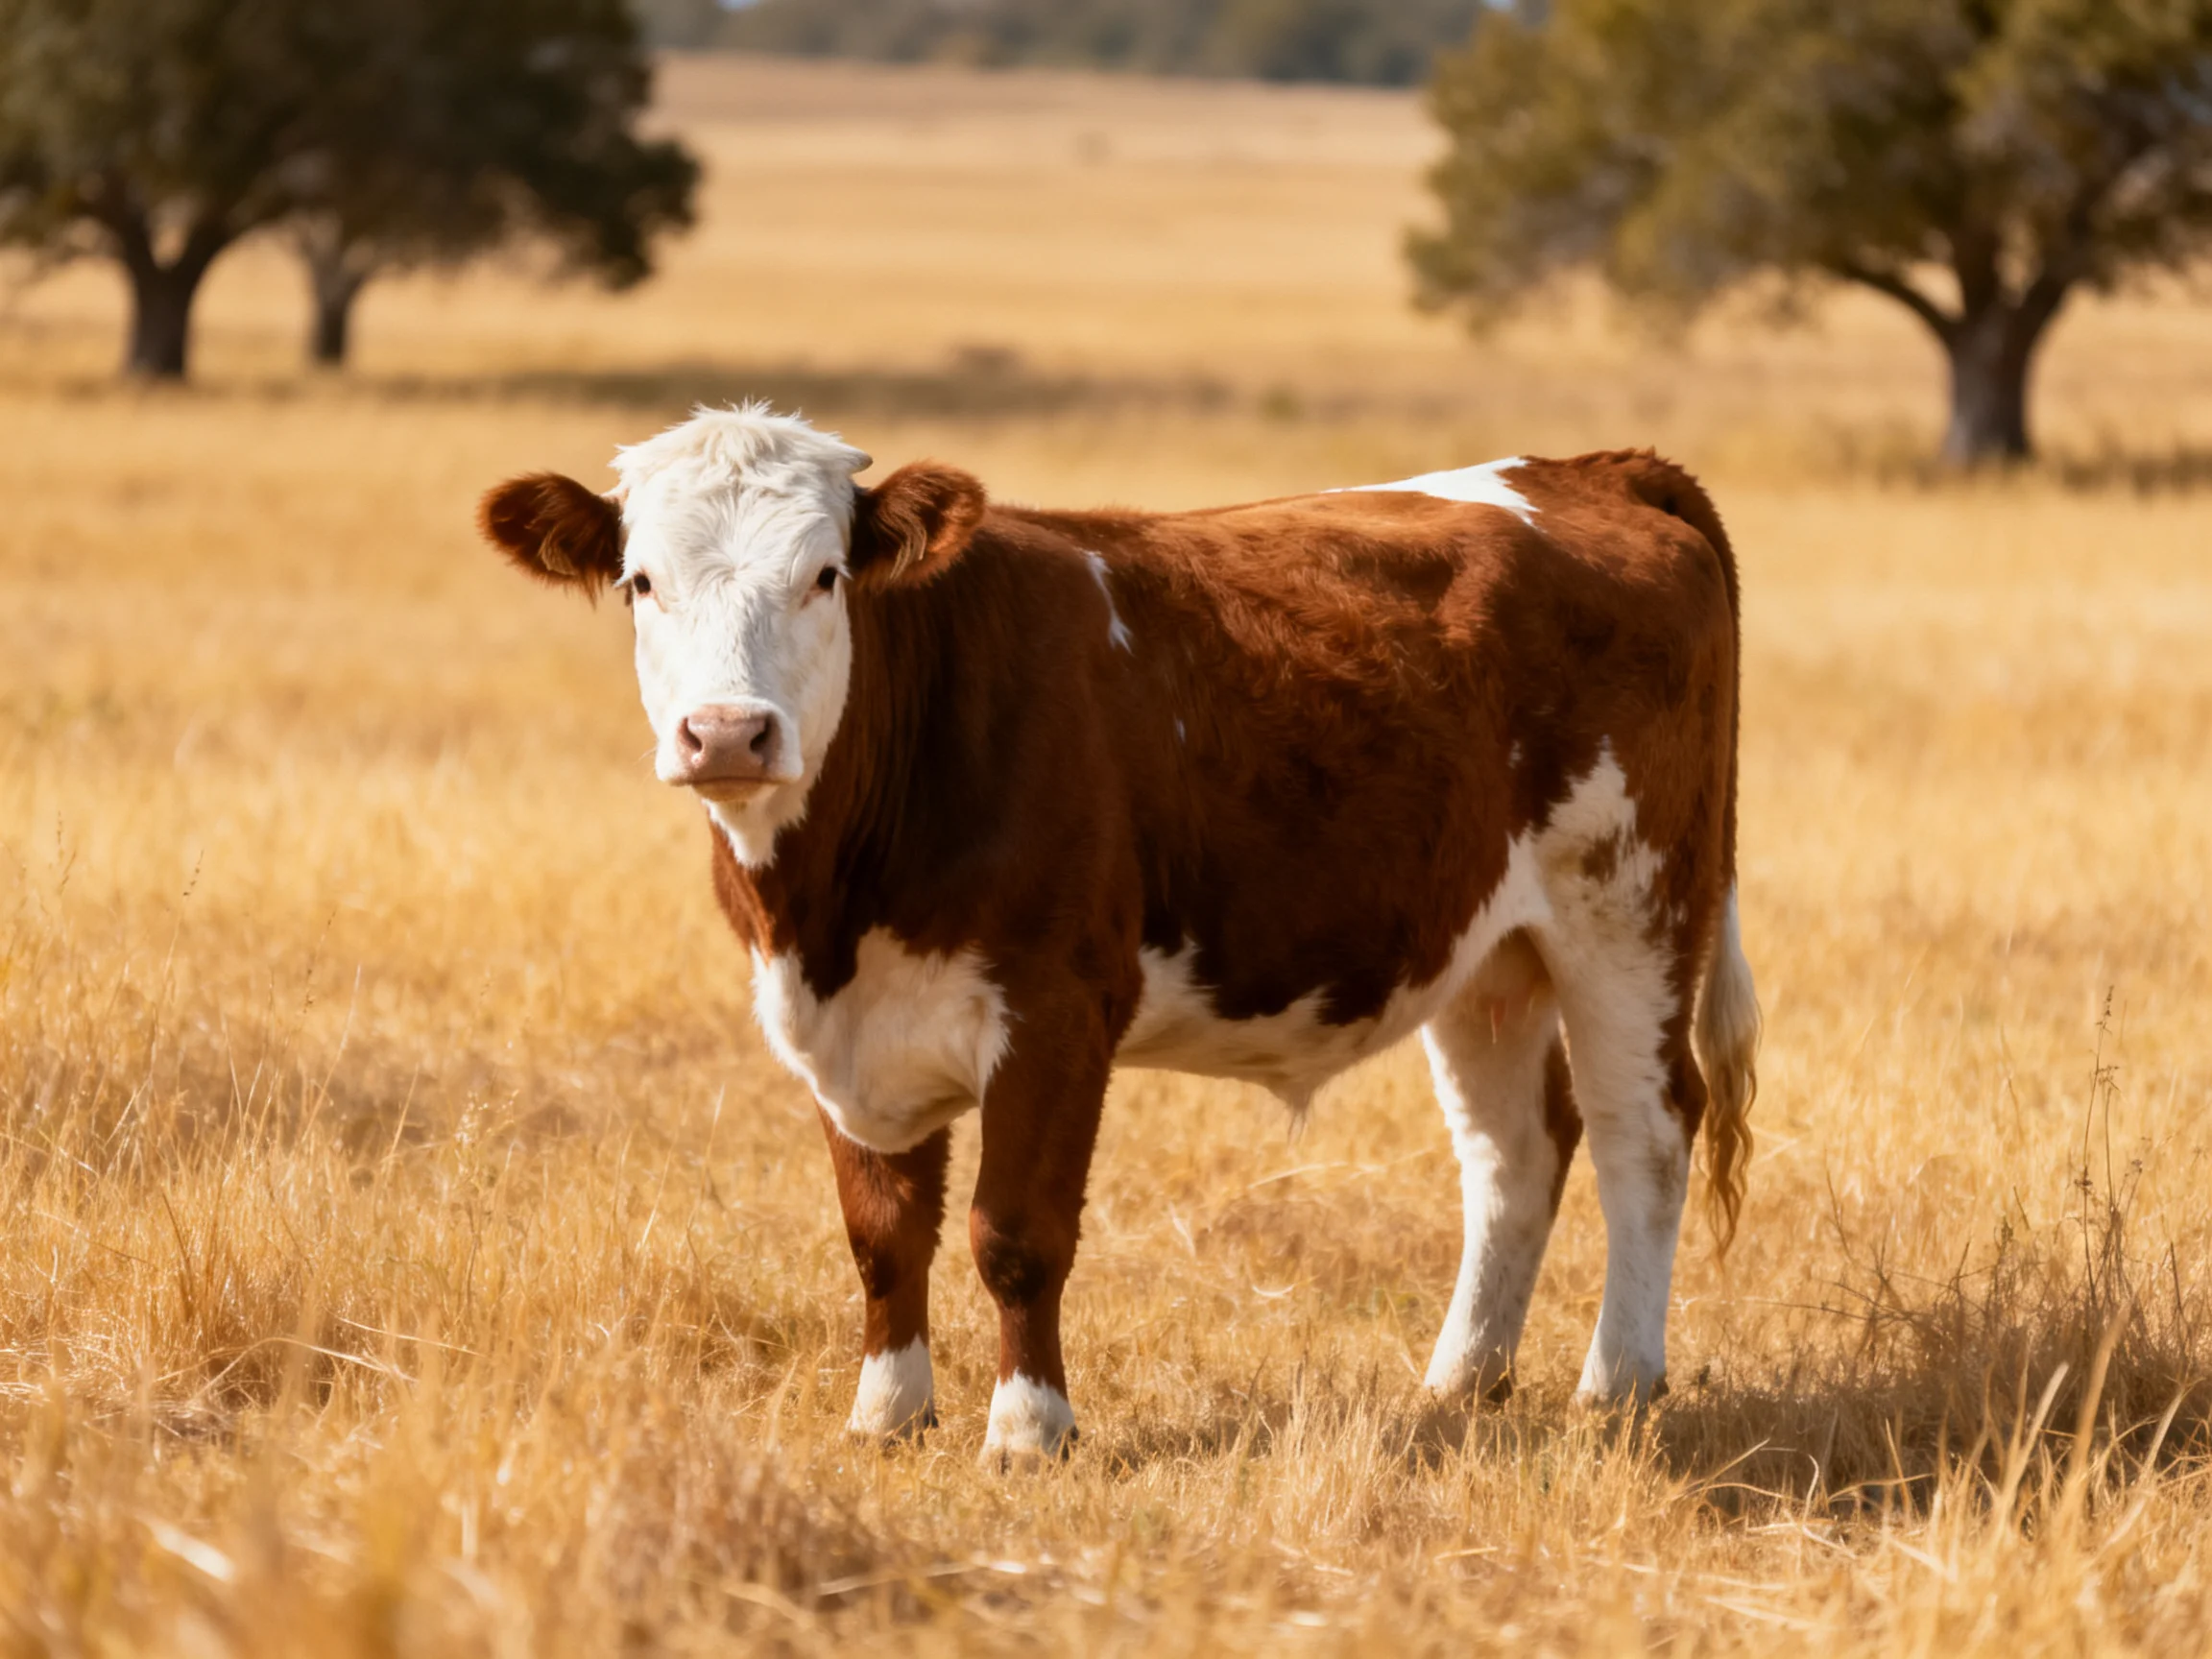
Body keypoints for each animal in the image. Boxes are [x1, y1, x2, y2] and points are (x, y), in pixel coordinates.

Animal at [478, 405, 1760, 1460]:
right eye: (642, 582)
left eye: (826, 575)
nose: (729, 733)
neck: (833, 905)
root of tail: (1589, 470)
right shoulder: (841, 1031)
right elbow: (882, 1232)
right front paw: (886, 1416)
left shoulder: (1055, 1010)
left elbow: (1015, 1231)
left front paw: (1028, 1431)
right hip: (1490, 950)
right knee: (1514, 1150)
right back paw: (1459, 1384)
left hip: (1631, 906)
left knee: (1644, 1130)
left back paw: (1617, 1389)